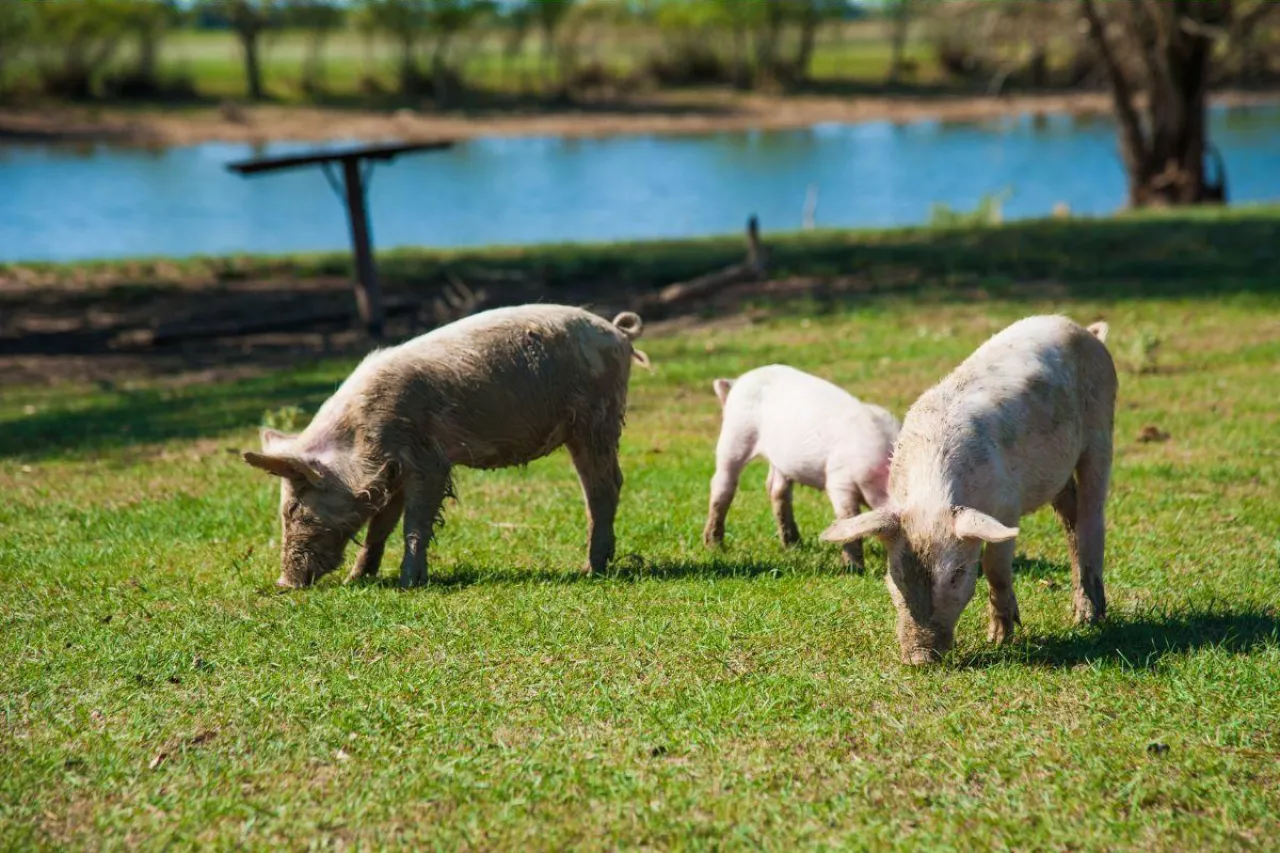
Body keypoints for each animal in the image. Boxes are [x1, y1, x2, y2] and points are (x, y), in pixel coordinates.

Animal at [243, 302, 650, 589]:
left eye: (294, 507)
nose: (284, 583)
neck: (359, 440)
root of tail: (617, 332)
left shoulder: (427, 460)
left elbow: (415, 522)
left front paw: (409, 583)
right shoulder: (391, 473)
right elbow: (380, 526)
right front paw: (356, 578)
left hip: (597, 419)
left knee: (604, 486)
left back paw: (590, 570)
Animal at [701, 361, 901, 568]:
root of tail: (738, 381)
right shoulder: (839, 479)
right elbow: (847, 517)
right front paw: (852, 569)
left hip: (779, 458)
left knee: (776, 489)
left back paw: (793, 545)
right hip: (735, 433)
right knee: (722, 484)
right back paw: (714, 546)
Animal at [819, 315, 1111, 660]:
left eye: (956, 575)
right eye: (896, 574)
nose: (920, 659)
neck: (931, 497)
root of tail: (1085, 330)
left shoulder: (1007, 508)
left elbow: (995, 567)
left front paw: (998, 640)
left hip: (1102, 429)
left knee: (1093, 516)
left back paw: (1089, 619)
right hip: (1059, 474)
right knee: (1071, 518)